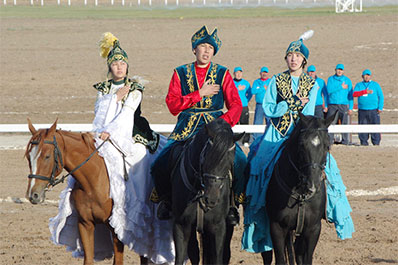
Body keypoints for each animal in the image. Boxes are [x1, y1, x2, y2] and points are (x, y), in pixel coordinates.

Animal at [24, 119, 149, 264]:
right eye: (28, 157)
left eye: (47, 156)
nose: (33, 195)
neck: (95, 179)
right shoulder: (85, 224)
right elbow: (88, 259)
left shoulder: (117, 230)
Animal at [171, 118, 243, 264]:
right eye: (206, 157)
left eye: (230, 162)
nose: (211, 199)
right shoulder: (181, 225)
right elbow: (182, 257)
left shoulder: (218, 227)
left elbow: (218, 258)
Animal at [262, 112, 338, 264]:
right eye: (302, 145)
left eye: (327, 146)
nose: (312, 184)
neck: (301, 194)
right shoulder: (277, 227)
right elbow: (281, 259)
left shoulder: (313, 229)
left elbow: (306, 258)